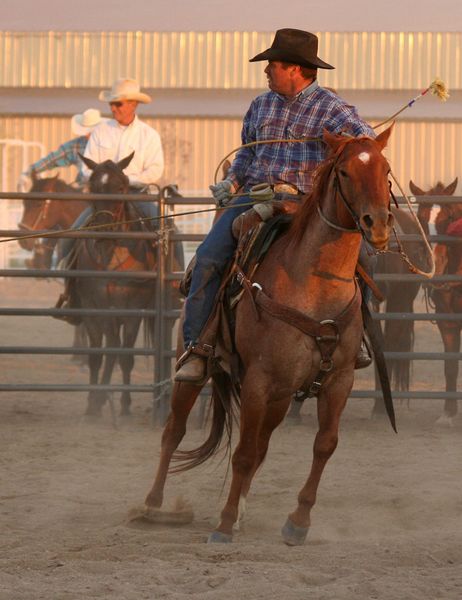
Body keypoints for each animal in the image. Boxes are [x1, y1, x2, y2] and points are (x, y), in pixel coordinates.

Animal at [145, 125, 398, 544]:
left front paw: (298, 521)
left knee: (260, 443)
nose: (377, 224)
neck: (314, 284)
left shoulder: (338, 381)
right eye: (345, 172)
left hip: (279, 396)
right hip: (200, 370)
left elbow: (323, 445)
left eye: (386, 170)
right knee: (173, 430)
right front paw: (224, 524)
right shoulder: (259, 381)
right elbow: (244, 453)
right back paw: (151, 505)